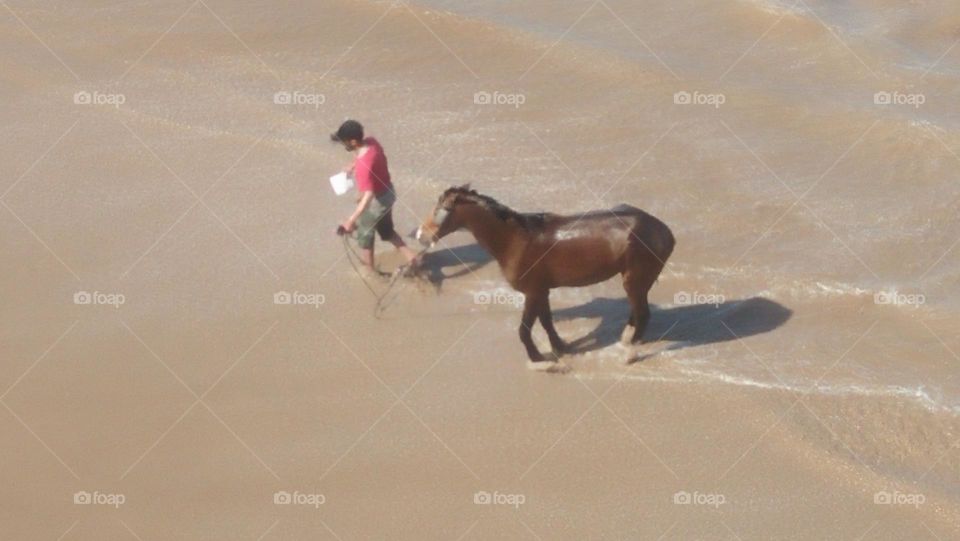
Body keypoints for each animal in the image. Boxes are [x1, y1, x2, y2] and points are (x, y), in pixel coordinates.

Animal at [418, 186, 676, 368]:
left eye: (439, 210)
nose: (420, 235)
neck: (514, 240)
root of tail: (664, 230)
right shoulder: (542, 291)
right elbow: (546, 321)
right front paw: (560, 347)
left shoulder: (532, 292)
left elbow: (524, 330)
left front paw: (537, 359)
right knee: (636, 313)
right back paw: (626, 340)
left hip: (634, 281)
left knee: (643, 315)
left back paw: (629, 354)